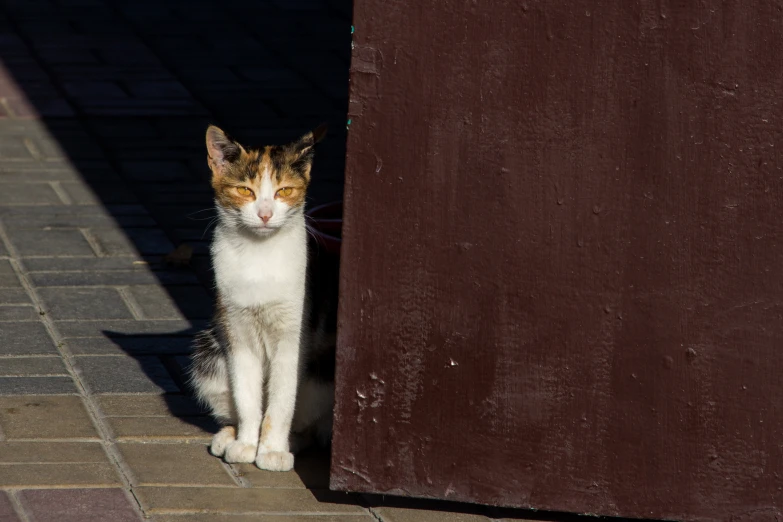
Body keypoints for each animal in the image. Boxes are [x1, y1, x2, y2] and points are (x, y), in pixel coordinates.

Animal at [191, 124, 340, 470]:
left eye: (284, 191)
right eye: (245, 191)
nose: (265, 214)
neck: (258, 255)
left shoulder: (292, 339)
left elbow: (281, 401)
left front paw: (271, 450)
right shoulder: (237, 333)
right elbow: (247, 397)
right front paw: (247, 443)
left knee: (309, 425)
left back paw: (291, 443)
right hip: (209, 353)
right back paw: (228, 436)